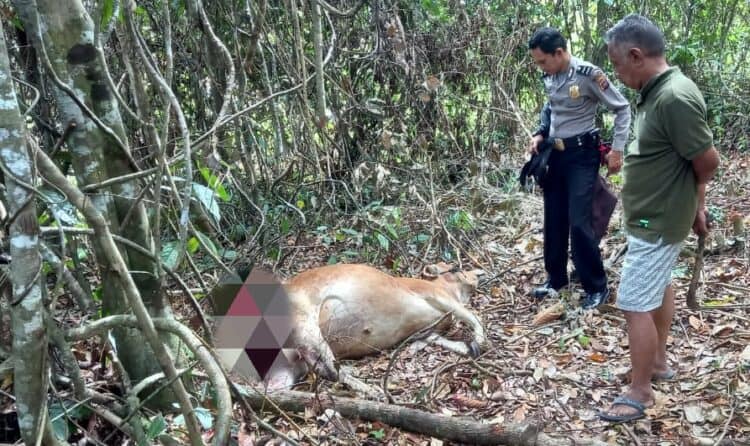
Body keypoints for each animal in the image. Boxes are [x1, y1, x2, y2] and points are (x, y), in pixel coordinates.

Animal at [270, 264, 488, 392]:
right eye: (455, 269)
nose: (479, 274)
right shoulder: (434, 294)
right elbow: (472, 316)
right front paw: (480, 341)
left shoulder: (425, 330)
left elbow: (437, 339)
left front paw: (469, 347)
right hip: (305, 323)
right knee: (331, 369)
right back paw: (371, 390)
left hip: (289, 366)